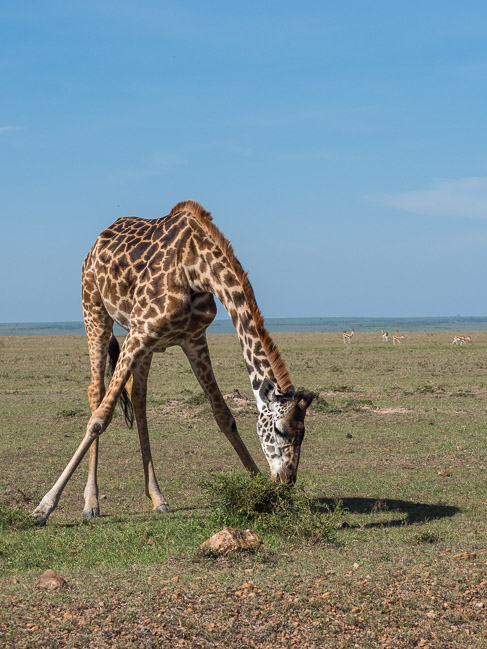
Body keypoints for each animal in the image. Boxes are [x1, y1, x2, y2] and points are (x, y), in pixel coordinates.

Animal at [33, 200, 315, 524]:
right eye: (279, 430)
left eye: (303, 434)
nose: (286, 481)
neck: (196, 268)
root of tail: (97, 243)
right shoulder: (141, 331)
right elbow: (99, 419)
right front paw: (44, 506)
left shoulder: (192, 339)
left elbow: (224, 416)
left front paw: (266, 495)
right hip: (95, 309)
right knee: (96, 392)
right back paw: (91, 502)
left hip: (143, 339)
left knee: (138, 397)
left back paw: (157, 497)